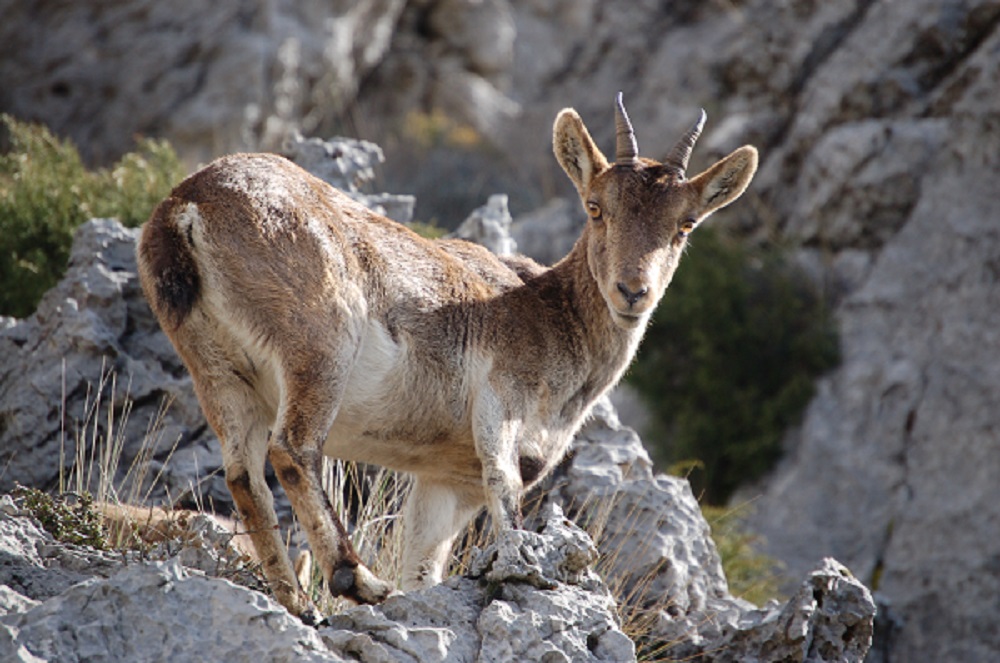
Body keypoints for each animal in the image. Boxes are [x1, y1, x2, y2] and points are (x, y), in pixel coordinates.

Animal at [135, 96, 756, 620]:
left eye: (685, 225)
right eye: (596, 207)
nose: (632, 292)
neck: (551, 312)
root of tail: (184, 209)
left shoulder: (448, 479)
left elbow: (424, 563)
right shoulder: (502, 405)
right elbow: (506, 493)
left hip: (218, 370)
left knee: (244, 474)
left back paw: (296, 603)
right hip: (318, 343)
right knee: (292, 450)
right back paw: (358, 581)